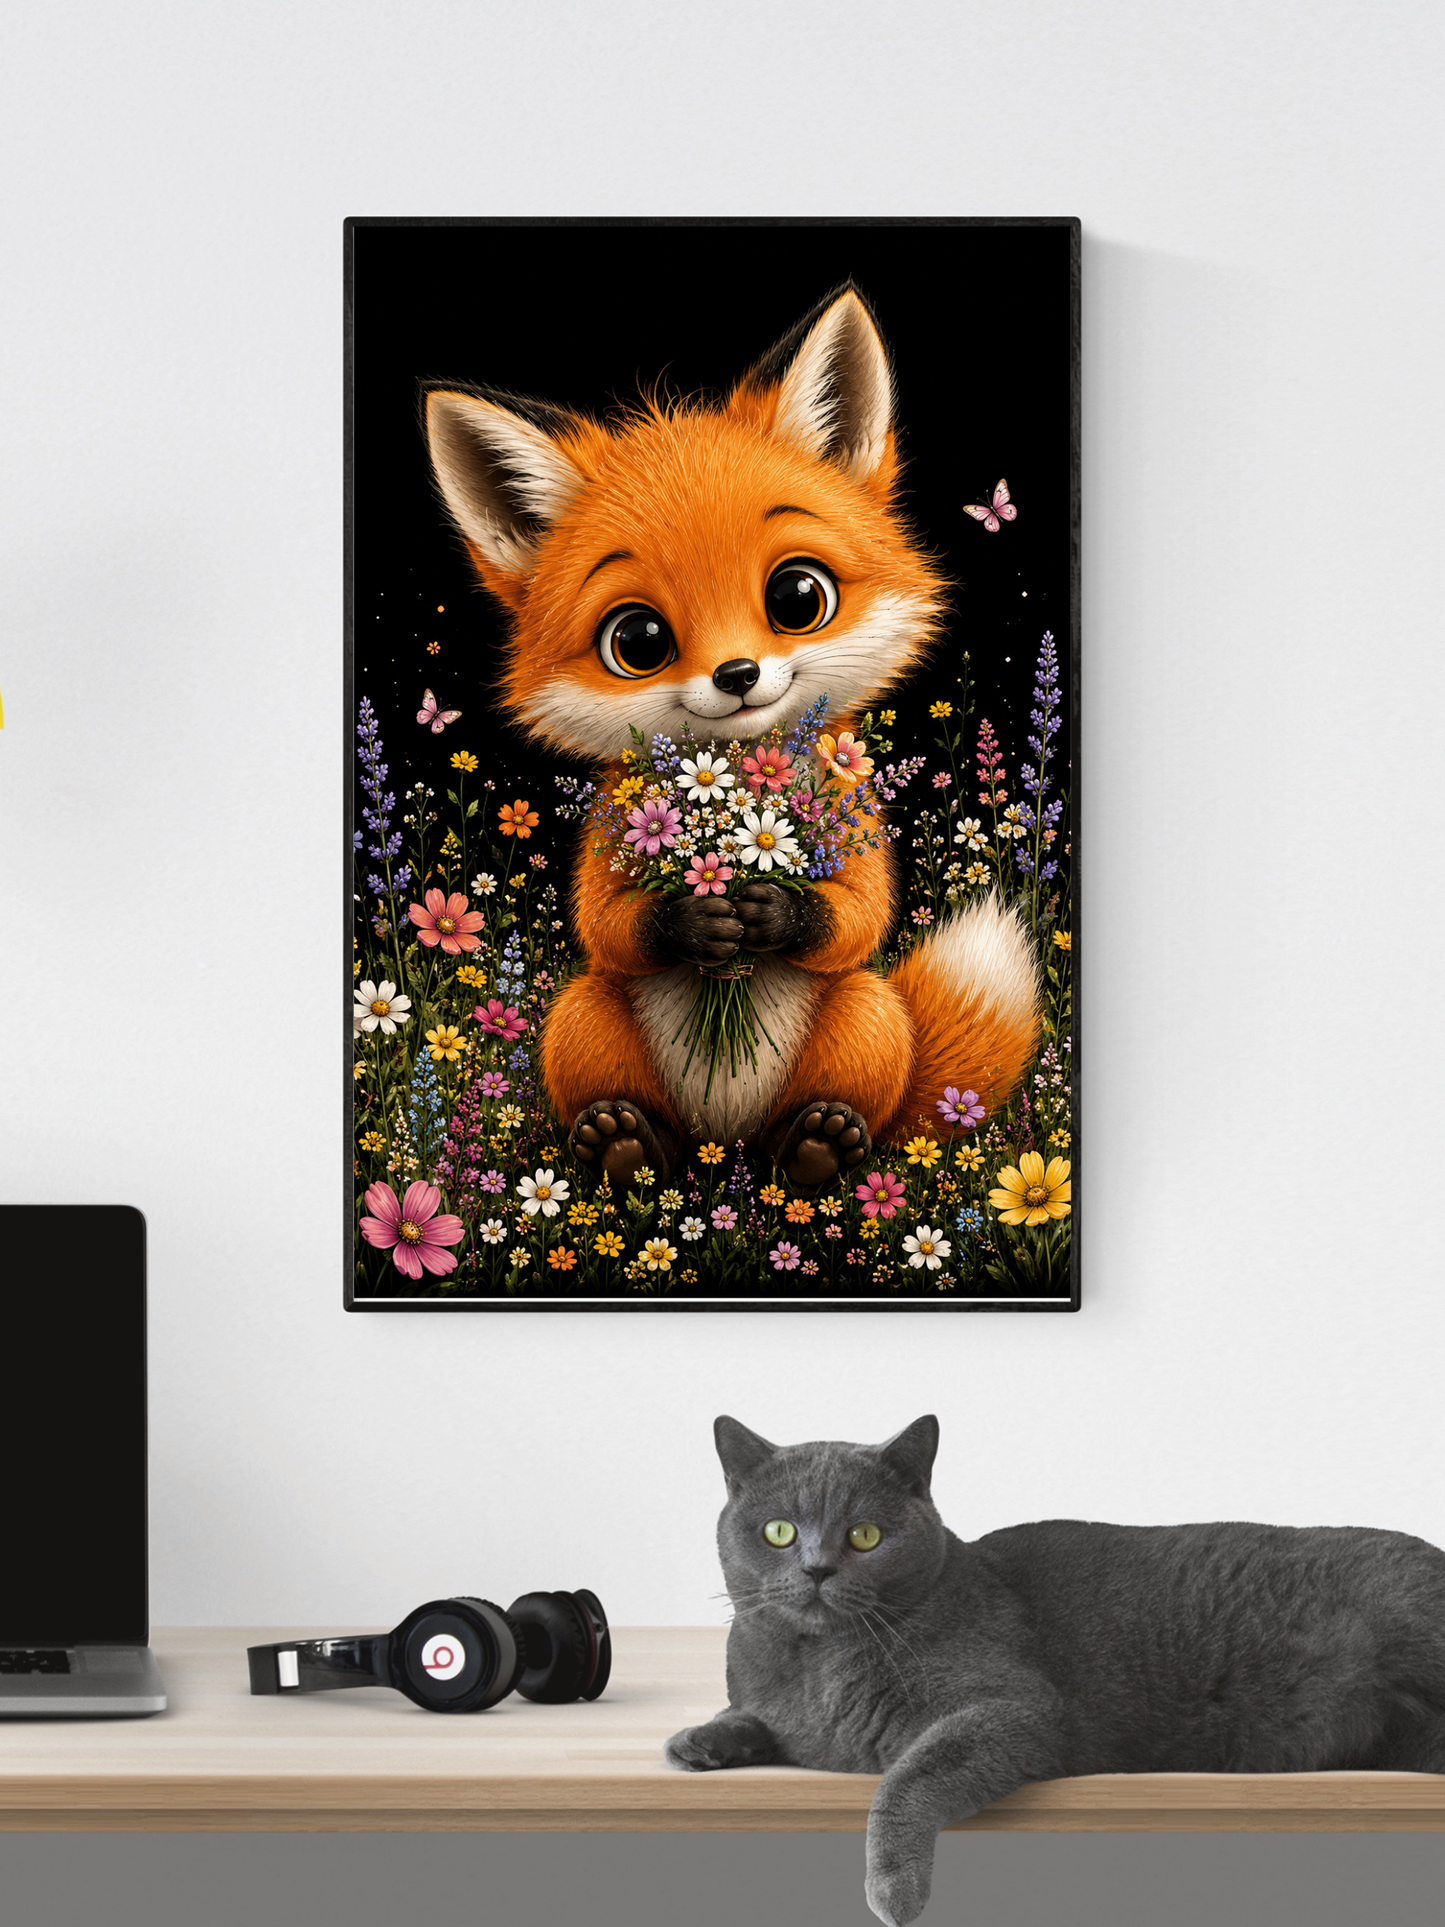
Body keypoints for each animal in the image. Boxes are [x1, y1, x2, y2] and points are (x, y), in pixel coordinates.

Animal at [422, 284, 1041, 1191]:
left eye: (796, 596)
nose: (738, 673)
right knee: (636, 1117)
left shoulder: (851, 817)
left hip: (867, 1011)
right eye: (637, 640)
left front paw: (770, 911)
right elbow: (610, 924)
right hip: (582, 1011)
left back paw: (819, 1147)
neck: (738, 787)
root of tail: (726, 1149)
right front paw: (697, 920)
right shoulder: (610, 838)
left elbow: (856, 913)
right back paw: (626, 1144)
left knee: (836, 1107)